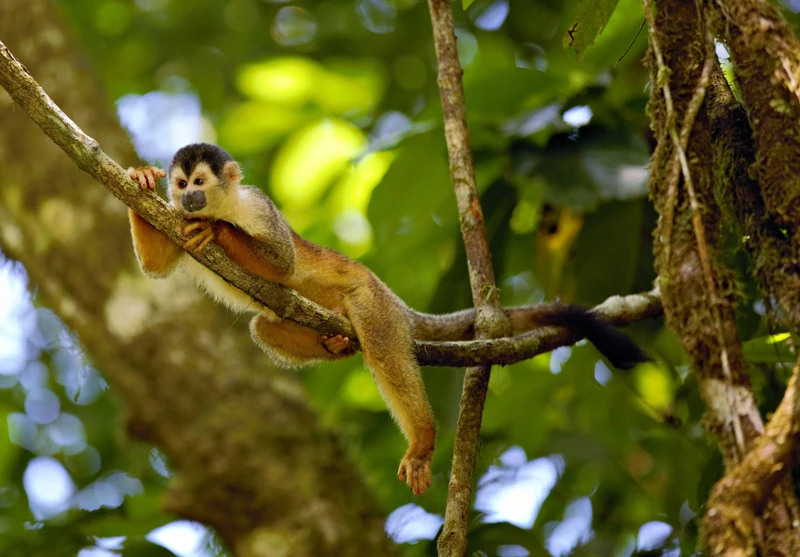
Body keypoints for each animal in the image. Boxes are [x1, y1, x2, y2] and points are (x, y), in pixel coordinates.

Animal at [126, 142, 649, 496]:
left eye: (200, 183)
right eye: (180, 185)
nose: (189, 200)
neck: (224, 203)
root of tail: (391, 297)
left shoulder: (257, 206)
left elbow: (282, 263)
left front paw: (216, 230)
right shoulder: (173, 221)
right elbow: (155, 267)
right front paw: (141, 177)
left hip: (372, 300)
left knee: (381, 349)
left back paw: (423, 437)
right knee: (265, 327)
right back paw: (337, 345)